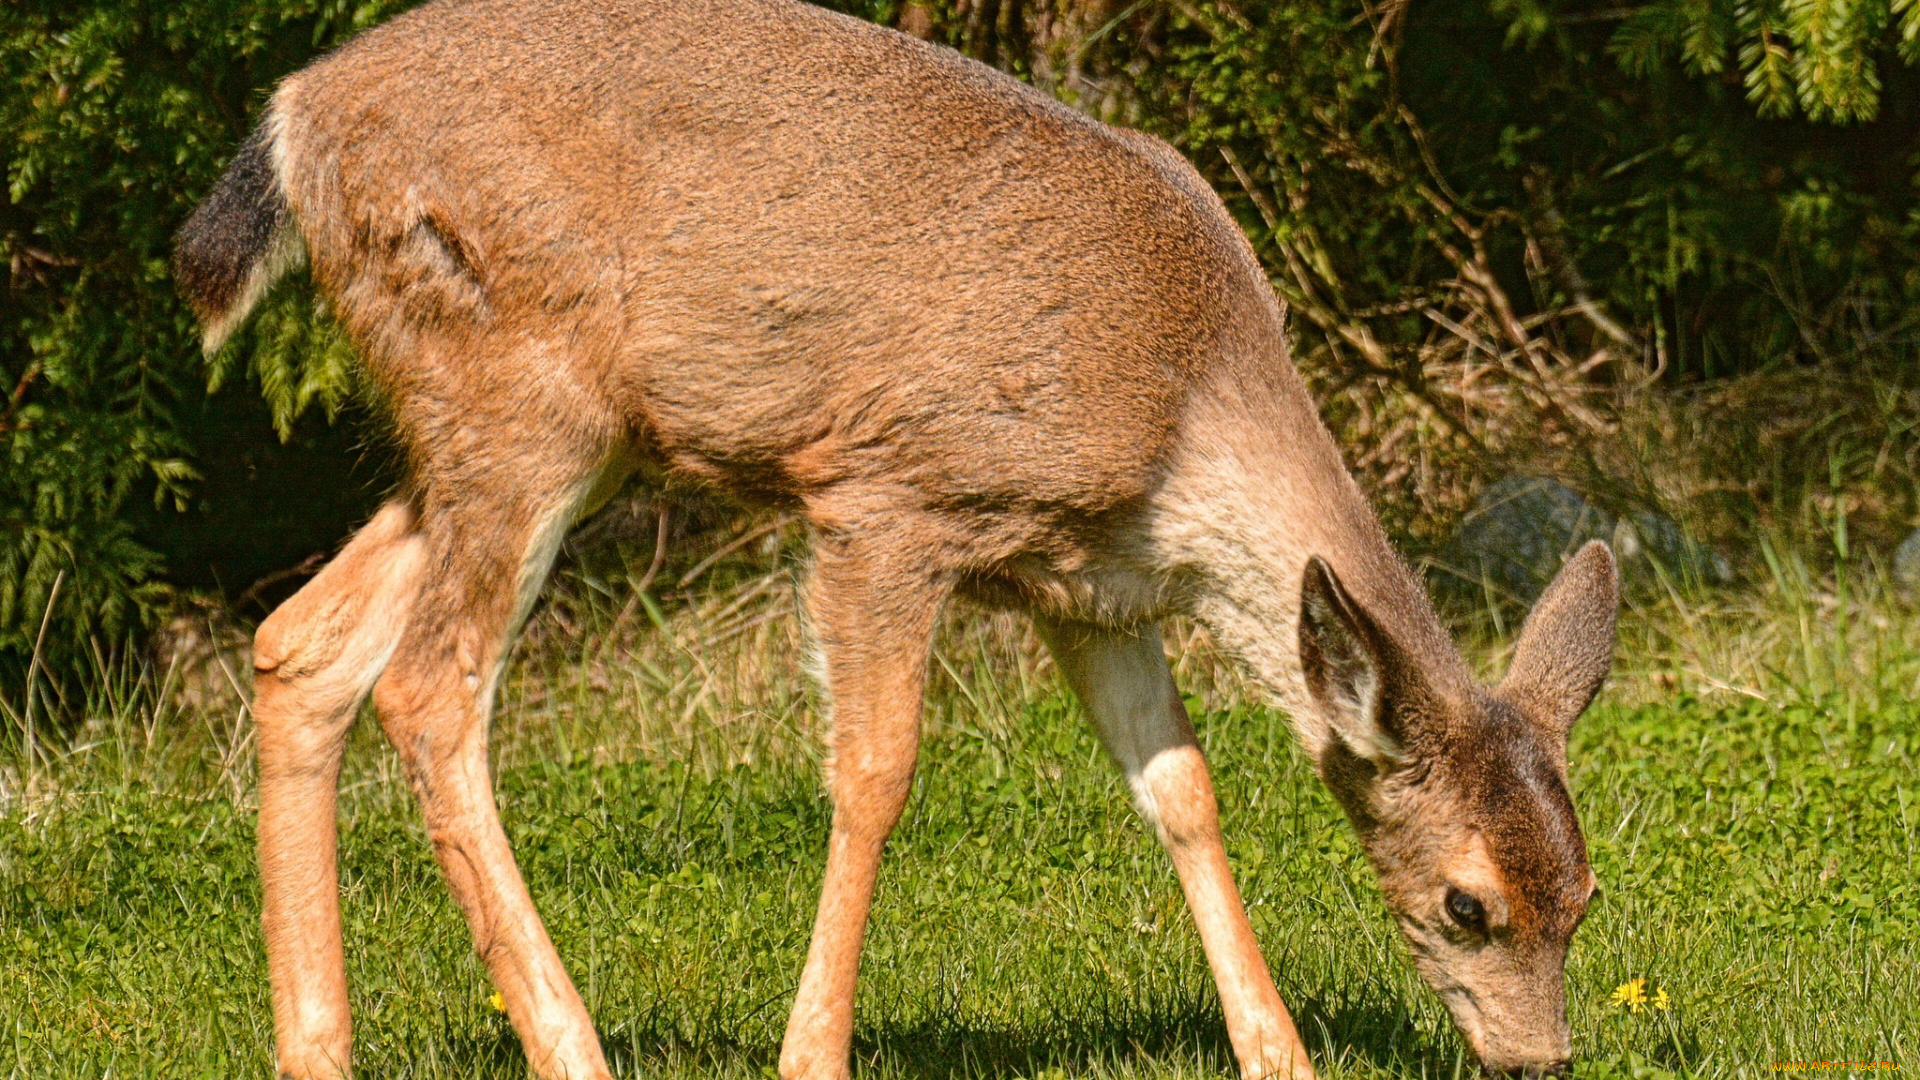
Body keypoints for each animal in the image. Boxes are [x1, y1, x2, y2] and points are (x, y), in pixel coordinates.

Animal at [168, 2, 1620, 1076]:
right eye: (1468, 904)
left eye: (1587, 897)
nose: (1539, 1060)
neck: (1183, 404)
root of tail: (294, 120)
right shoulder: (884, 501)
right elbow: (873, 774)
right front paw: (812, 1051)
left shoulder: (1090, 588)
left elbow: (1183, 791)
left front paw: (1279, 1057)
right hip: (514, 387)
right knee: (428, 690)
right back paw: (568, 1045)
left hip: (498, 430)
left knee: (302, 643)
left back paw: (318, 1048)